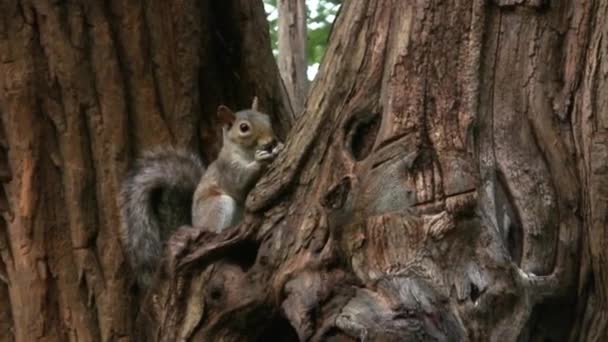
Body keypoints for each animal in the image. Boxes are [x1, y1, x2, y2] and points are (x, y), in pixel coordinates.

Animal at [120, 99, 284, 288]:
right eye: (244, 128)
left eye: (267, 118)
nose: (271, 141)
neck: (245, 153)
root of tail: (194, 226)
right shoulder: (227, 170)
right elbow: (240, 184)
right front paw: (261, 159)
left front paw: (280, 147)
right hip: (218, 205)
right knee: (214, 231)